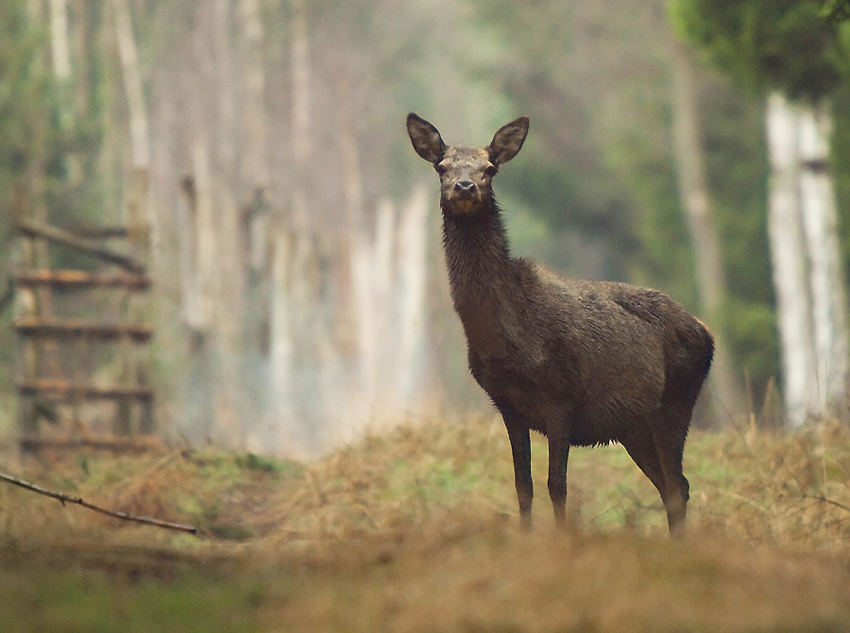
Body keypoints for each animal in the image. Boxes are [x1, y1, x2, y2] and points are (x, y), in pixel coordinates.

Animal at [408, 112, 712, 532]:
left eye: (490, 168)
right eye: (442, 167)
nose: (465, 186)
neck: (504, 339)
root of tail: (708, 335)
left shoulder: (561, 396)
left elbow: (557, 485)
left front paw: (563, 539)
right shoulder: (507, 404)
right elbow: (523, 485)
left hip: (676, 402)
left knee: (676, 484)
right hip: (633, 426)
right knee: (672, 486)